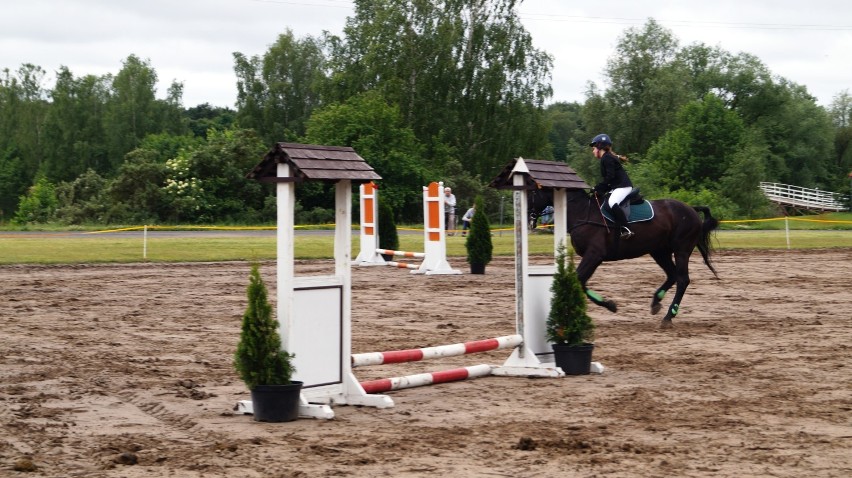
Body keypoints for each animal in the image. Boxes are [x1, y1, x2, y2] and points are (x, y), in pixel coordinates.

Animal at [532, 189, 720, 326]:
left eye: (533, 191)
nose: (530, 217)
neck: (582, 213)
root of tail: (691, 209)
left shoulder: (594, 255)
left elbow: (578, 279)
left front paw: (608, 305)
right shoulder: (593, 258)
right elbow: (580, 281)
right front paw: (609, 304)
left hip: (681, 251)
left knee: (682, 280)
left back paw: (668, 316)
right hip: (659, 251)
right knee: (672, 275)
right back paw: (656, 302)